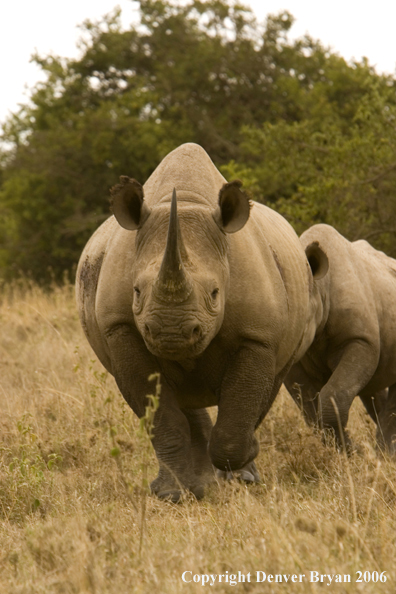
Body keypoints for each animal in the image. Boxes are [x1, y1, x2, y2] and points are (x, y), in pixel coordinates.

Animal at [76, 143, 326, 500]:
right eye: (136, 291)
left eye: (215, 293)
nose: (171, 333)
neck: (187, 202)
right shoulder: (119, 328)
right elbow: (161, 417)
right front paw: (172, 495)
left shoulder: (258, 335)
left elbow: (241, 410)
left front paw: (244, 462)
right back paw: (198, 484)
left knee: (269, 385)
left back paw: (237, 475)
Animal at [286, 223, 396, 454]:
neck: (320, 289)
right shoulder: (295, 359)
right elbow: (309, 407)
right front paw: (347, 450)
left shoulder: (361, 340)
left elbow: (334, 394)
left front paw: (353, 452)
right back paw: (383, 453)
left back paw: (385, 453)